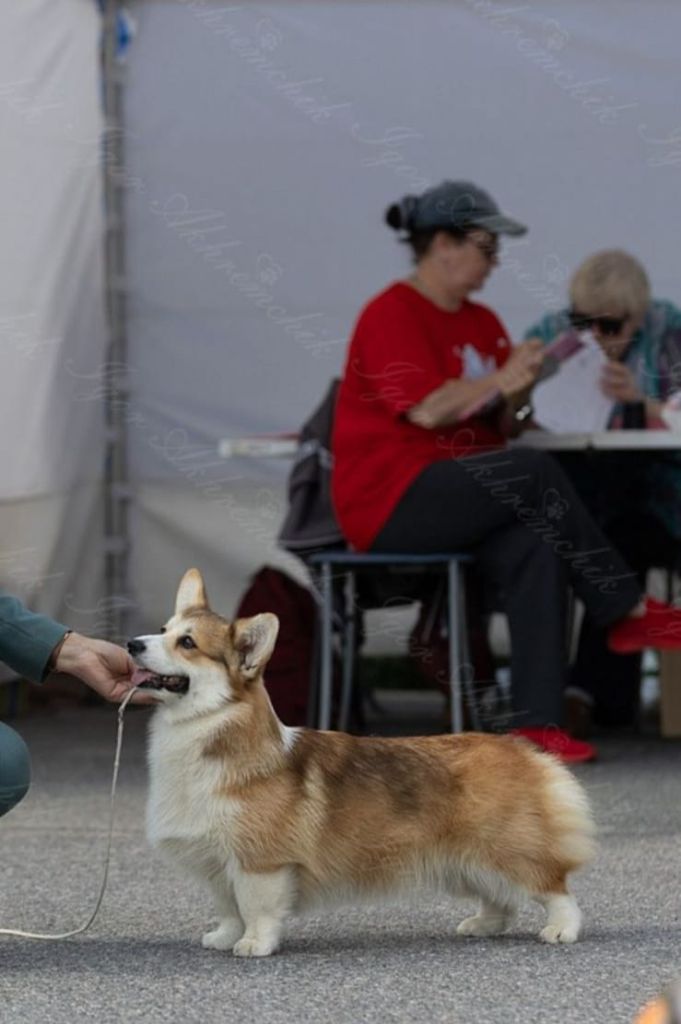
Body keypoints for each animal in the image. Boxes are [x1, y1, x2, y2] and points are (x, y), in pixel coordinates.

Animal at [127, 573, 593, 954]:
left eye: (187, 643)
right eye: (164, 630)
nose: (132, 643)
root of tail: (523, 750)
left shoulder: (260, 862)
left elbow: (256, 907)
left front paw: (254, 944)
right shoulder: (216, 864)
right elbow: (228, 906)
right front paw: (223, 938)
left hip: (507, 849)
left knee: (555, 887)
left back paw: (561, 930)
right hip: (467, 859)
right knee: (499, 896)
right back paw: (483, 924)